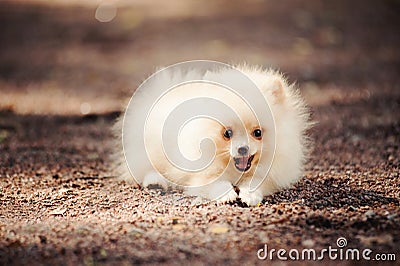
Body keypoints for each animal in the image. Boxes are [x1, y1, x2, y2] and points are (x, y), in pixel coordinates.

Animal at [114, 62, 310, 206]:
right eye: (227, 133)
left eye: (257, 132)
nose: (242, 149)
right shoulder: (199, 174)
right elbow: (214, 182)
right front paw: (226, 195)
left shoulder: (273, 172)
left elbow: (257, 181)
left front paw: (249, 195)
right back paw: (155, 181)